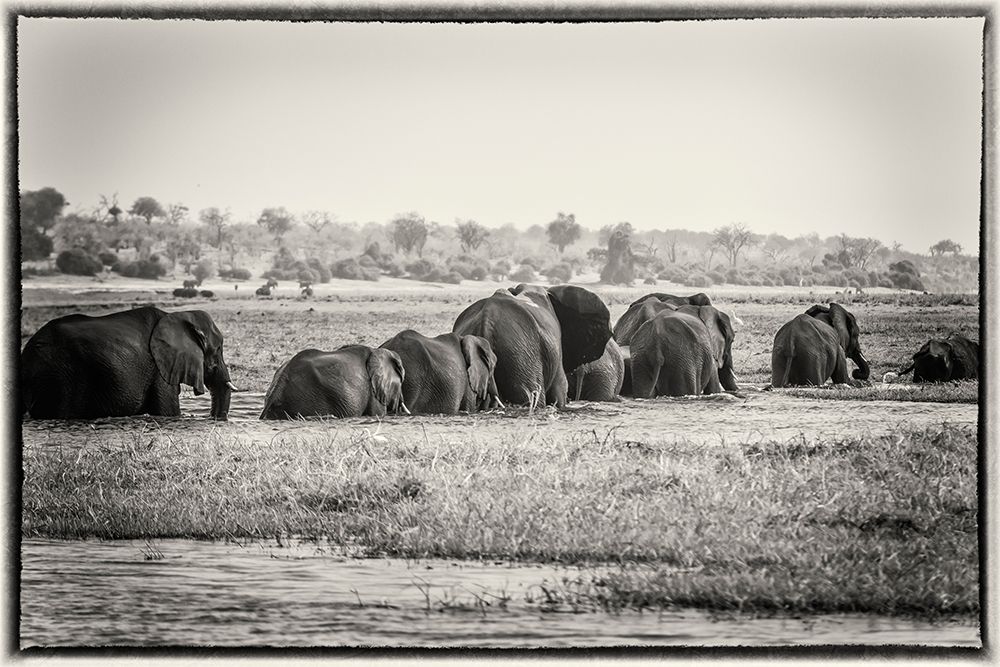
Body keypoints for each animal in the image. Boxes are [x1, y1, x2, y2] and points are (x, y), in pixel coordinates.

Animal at [20, 306, 236, 420]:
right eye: (218, 350)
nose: (214, 418)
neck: (179, 315)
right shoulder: (159, 367)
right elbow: (167, 412)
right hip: (61, 376)